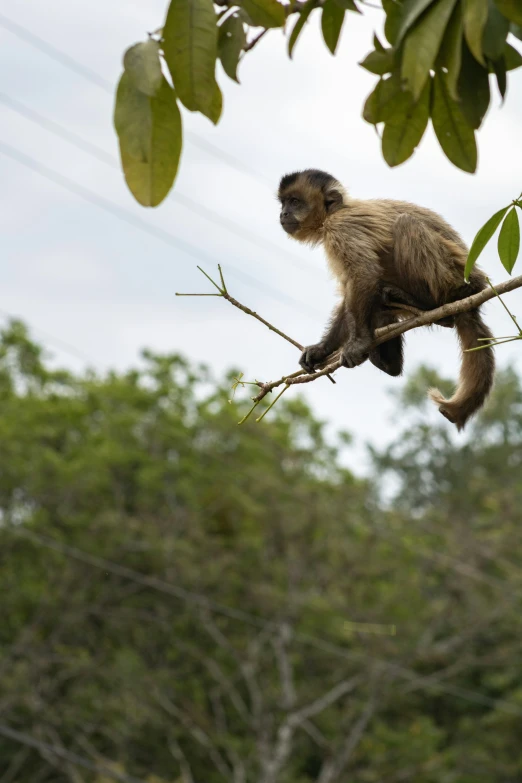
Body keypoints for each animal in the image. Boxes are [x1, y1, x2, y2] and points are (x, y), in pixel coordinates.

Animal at [276, 168, 492, 432]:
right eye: (284, 203)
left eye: (295, 202)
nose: (283, 213)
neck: (335, 213)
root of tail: (476, 288)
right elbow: (350, 292)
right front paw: (321, 349)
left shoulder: (341, 228)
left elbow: (364, 274)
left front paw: (358, 344)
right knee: (378, 299)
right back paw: (388, 361)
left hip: (456, 278)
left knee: (406, 225)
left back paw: (430, 306)